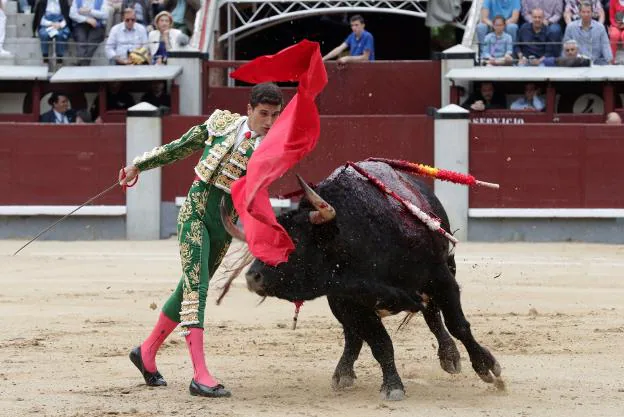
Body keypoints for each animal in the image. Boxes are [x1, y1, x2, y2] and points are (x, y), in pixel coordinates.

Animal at [223, 160, 502, 400]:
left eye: (294, 243)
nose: (252, 277)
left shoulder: (442, 278)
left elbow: (458, 325)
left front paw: (487, 367)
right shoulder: (350, 302)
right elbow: (380, 343)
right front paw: (393, 386)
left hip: (442, 272)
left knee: (433, 315)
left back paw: (449, 356)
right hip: (339, 304)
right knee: (354, 335)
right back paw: (343, 372)